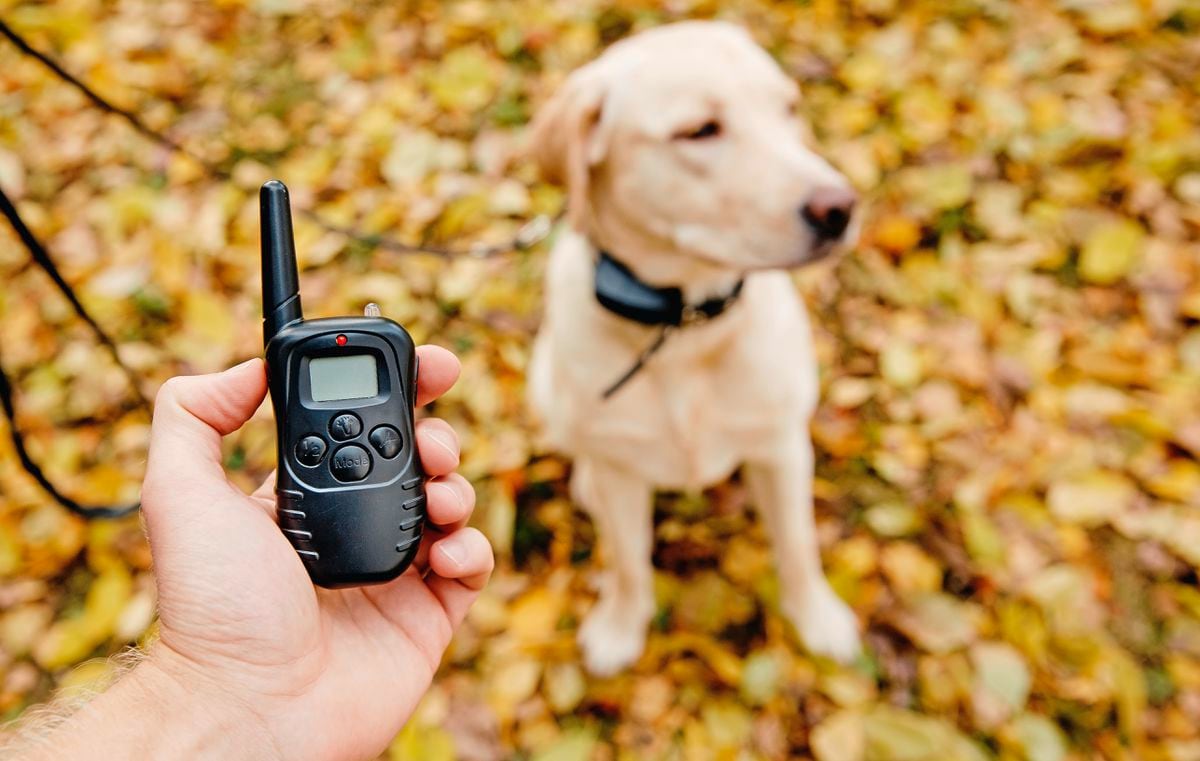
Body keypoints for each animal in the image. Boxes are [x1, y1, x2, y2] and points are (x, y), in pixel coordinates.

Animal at [530, 19, 859, 667]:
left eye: (789, 108)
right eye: (699, 131)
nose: (840, 208)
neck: (682, 327)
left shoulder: (782, 447)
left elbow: (798, 544)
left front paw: (817, 617)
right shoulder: (622, 470)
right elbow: (628, 562)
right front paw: (621, 626)